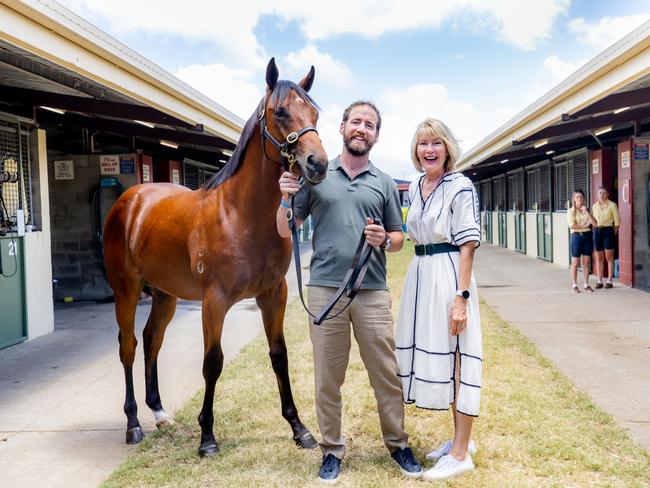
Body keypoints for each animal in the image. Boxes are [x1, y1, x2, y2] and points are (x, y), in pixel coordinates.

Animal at [104, 59, 326, 456]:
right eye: (281, 111)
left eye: (315, 112)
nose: (317, 163)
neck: (241, 216)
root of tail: (129, 200)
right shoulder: (215, 301)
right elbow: (213, 363)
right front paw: (207, 436)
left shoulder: (274, 294)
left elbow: (279, 355)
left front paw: (299, 428)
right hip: (125, 291)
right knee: (128, 346)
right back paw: (133, 424)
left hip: (165, 295)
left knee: (151, 340)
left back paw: (158, 411)